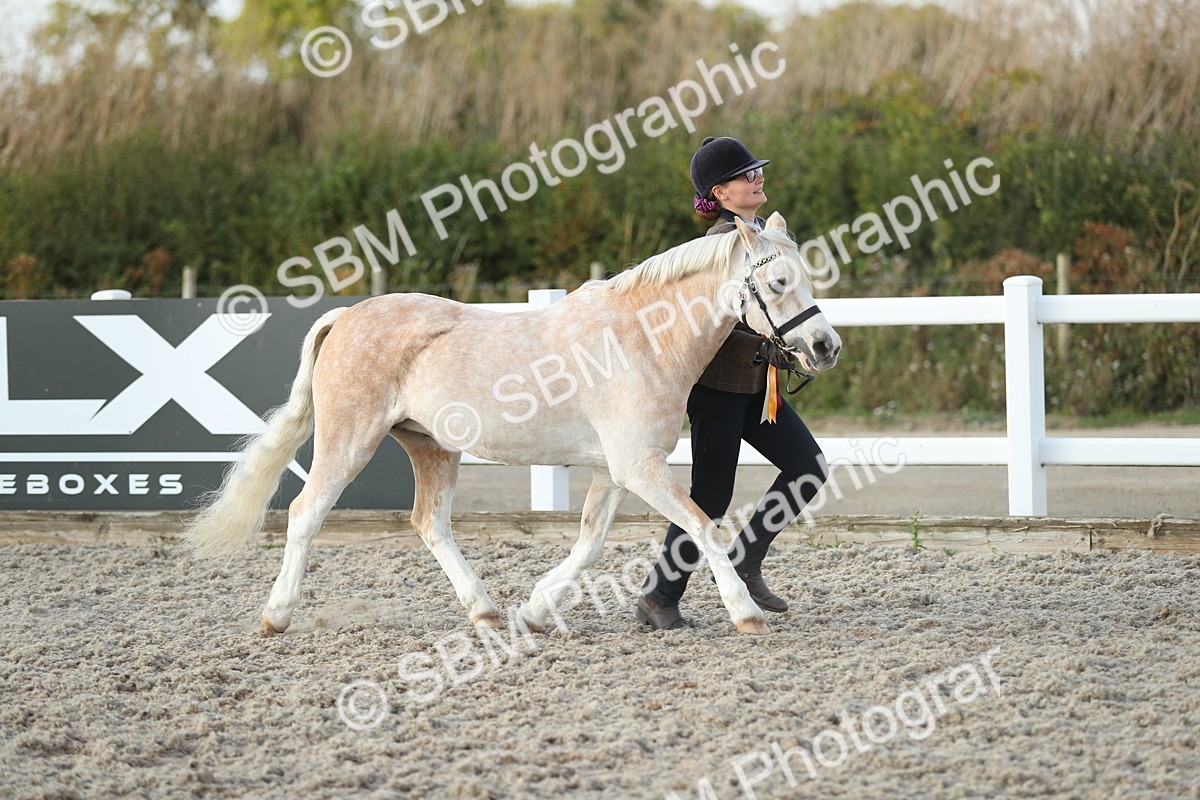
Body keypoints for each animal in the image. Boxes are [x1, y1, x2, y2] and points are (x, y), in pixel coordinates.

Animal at [184, 213, 841, 635]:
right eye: (778, 282)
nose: (825, 347)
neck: (641, 339)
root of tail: (345, 316)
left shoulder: (614, 470)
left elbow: (589, 543)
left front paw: (534, 611)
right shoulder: (640, 467)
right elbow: (704, 526)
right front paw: (745, 614)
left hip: (431, 447)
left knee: (430, 523)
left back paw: (486, 611)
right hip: (350, 440)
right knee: (305, 512)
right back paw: (276, 616)